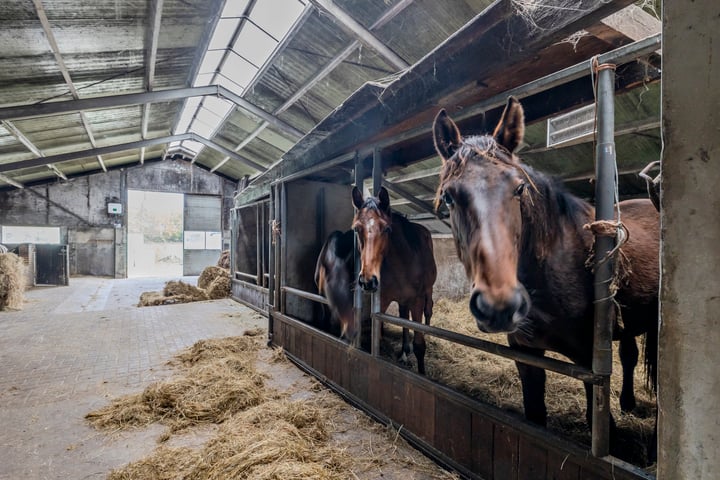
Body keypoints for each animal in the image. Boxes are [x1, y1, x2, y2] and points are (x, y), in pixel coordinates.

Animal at [352, 186, 436, 374]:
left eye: (387, 229)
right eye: (356, 229)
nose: (367, 280)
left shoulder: (417, 300)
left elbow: (419, 345)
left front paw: (422, 373)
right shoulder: (382, 300)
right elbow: (379, 336)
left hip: (428, 291)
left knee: (428, 311)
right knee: (404, 316)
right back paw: (404, 352)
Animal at [434, 96, 660, 458]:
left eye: (519, 188)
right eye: (449, 196)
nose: (499, 305)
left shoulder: (589, 364)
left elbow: (601, 423)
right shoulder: (526, 356)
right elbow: (535, 415)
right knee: (629, 355)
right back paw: (627, 401)